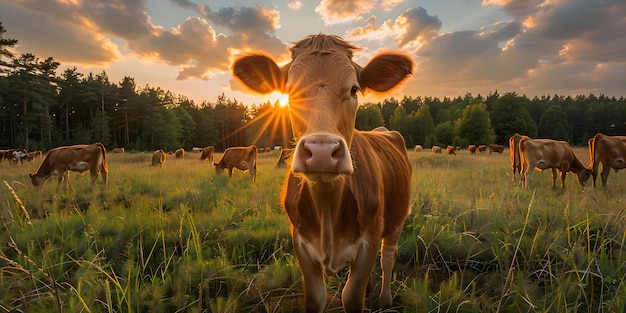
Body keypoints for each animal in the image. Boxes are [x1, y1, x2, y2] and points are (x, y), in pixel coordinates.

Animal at [232, 31, 412, 310]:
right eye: (289, 90)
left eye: (354, 89)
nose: (321, 151)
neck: (327, 206)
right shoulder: (300, 242)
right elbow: (316, 298)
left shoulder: (369, 240)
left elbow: (352, 296)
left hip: (396, 220)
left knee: (387, 259)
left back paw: (384, 299)